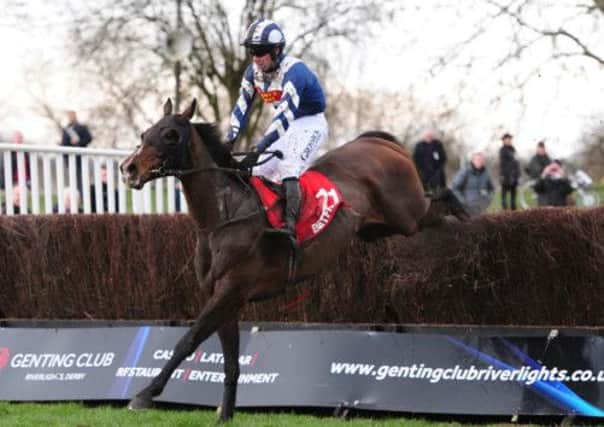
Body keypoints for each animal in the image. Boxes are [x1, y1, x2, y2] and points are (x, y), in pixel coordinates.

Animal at [119, 98, 468, 422]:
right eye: (144, 133)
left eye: (170, 135)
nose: (128, 168)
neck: (223, 216)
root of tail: (381, 143)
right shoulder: (226, 297)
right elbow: (230, 361)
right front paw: (225, 414)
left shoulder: (231, 289)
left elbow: (188, 340)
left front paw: (144, 394)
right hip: (377, 228)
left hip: (407, 216)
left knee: (442, 201)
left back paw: (464, 221)